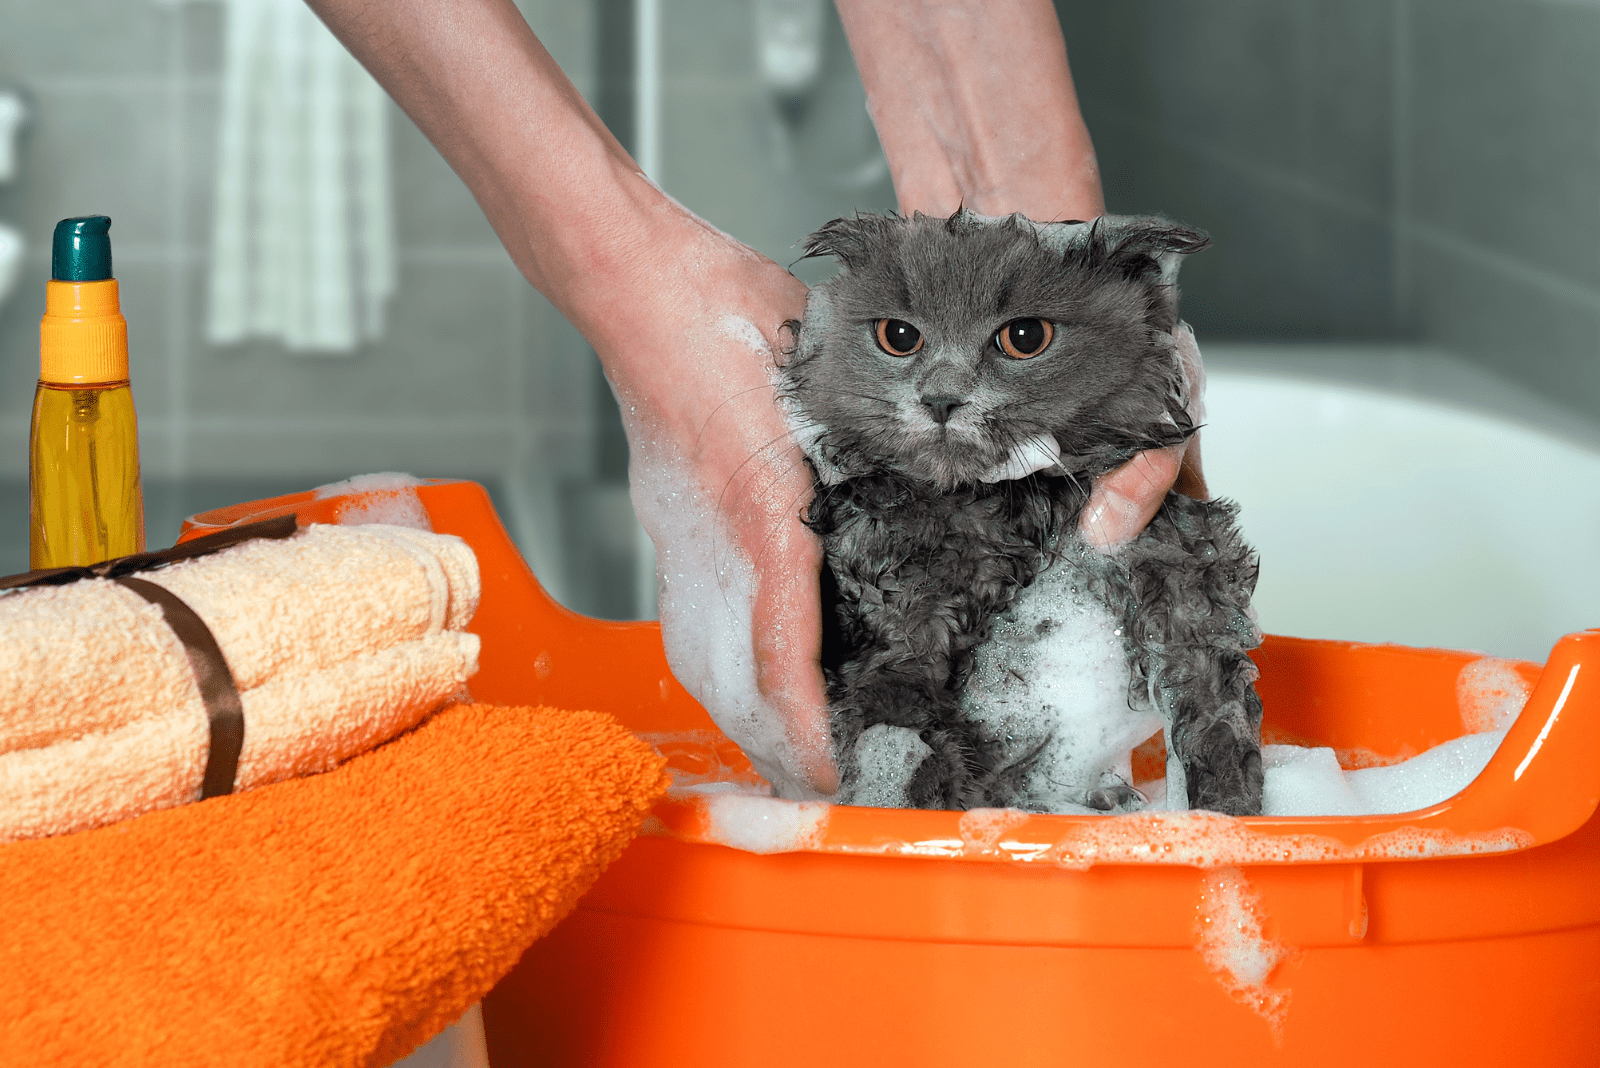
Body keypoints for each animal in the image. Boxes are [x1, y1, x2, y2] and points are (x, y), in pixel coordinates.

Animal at [784, 214, 1260, 818]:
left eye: (1025, 338)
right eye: (899, 337)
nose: (941, 399)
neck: (1001, 506)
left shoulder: (1177, 560)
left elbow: (1213, 704)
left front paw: (1224, 807)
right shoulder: (891, 622)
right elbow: (894, 713)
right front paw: (903, 798)